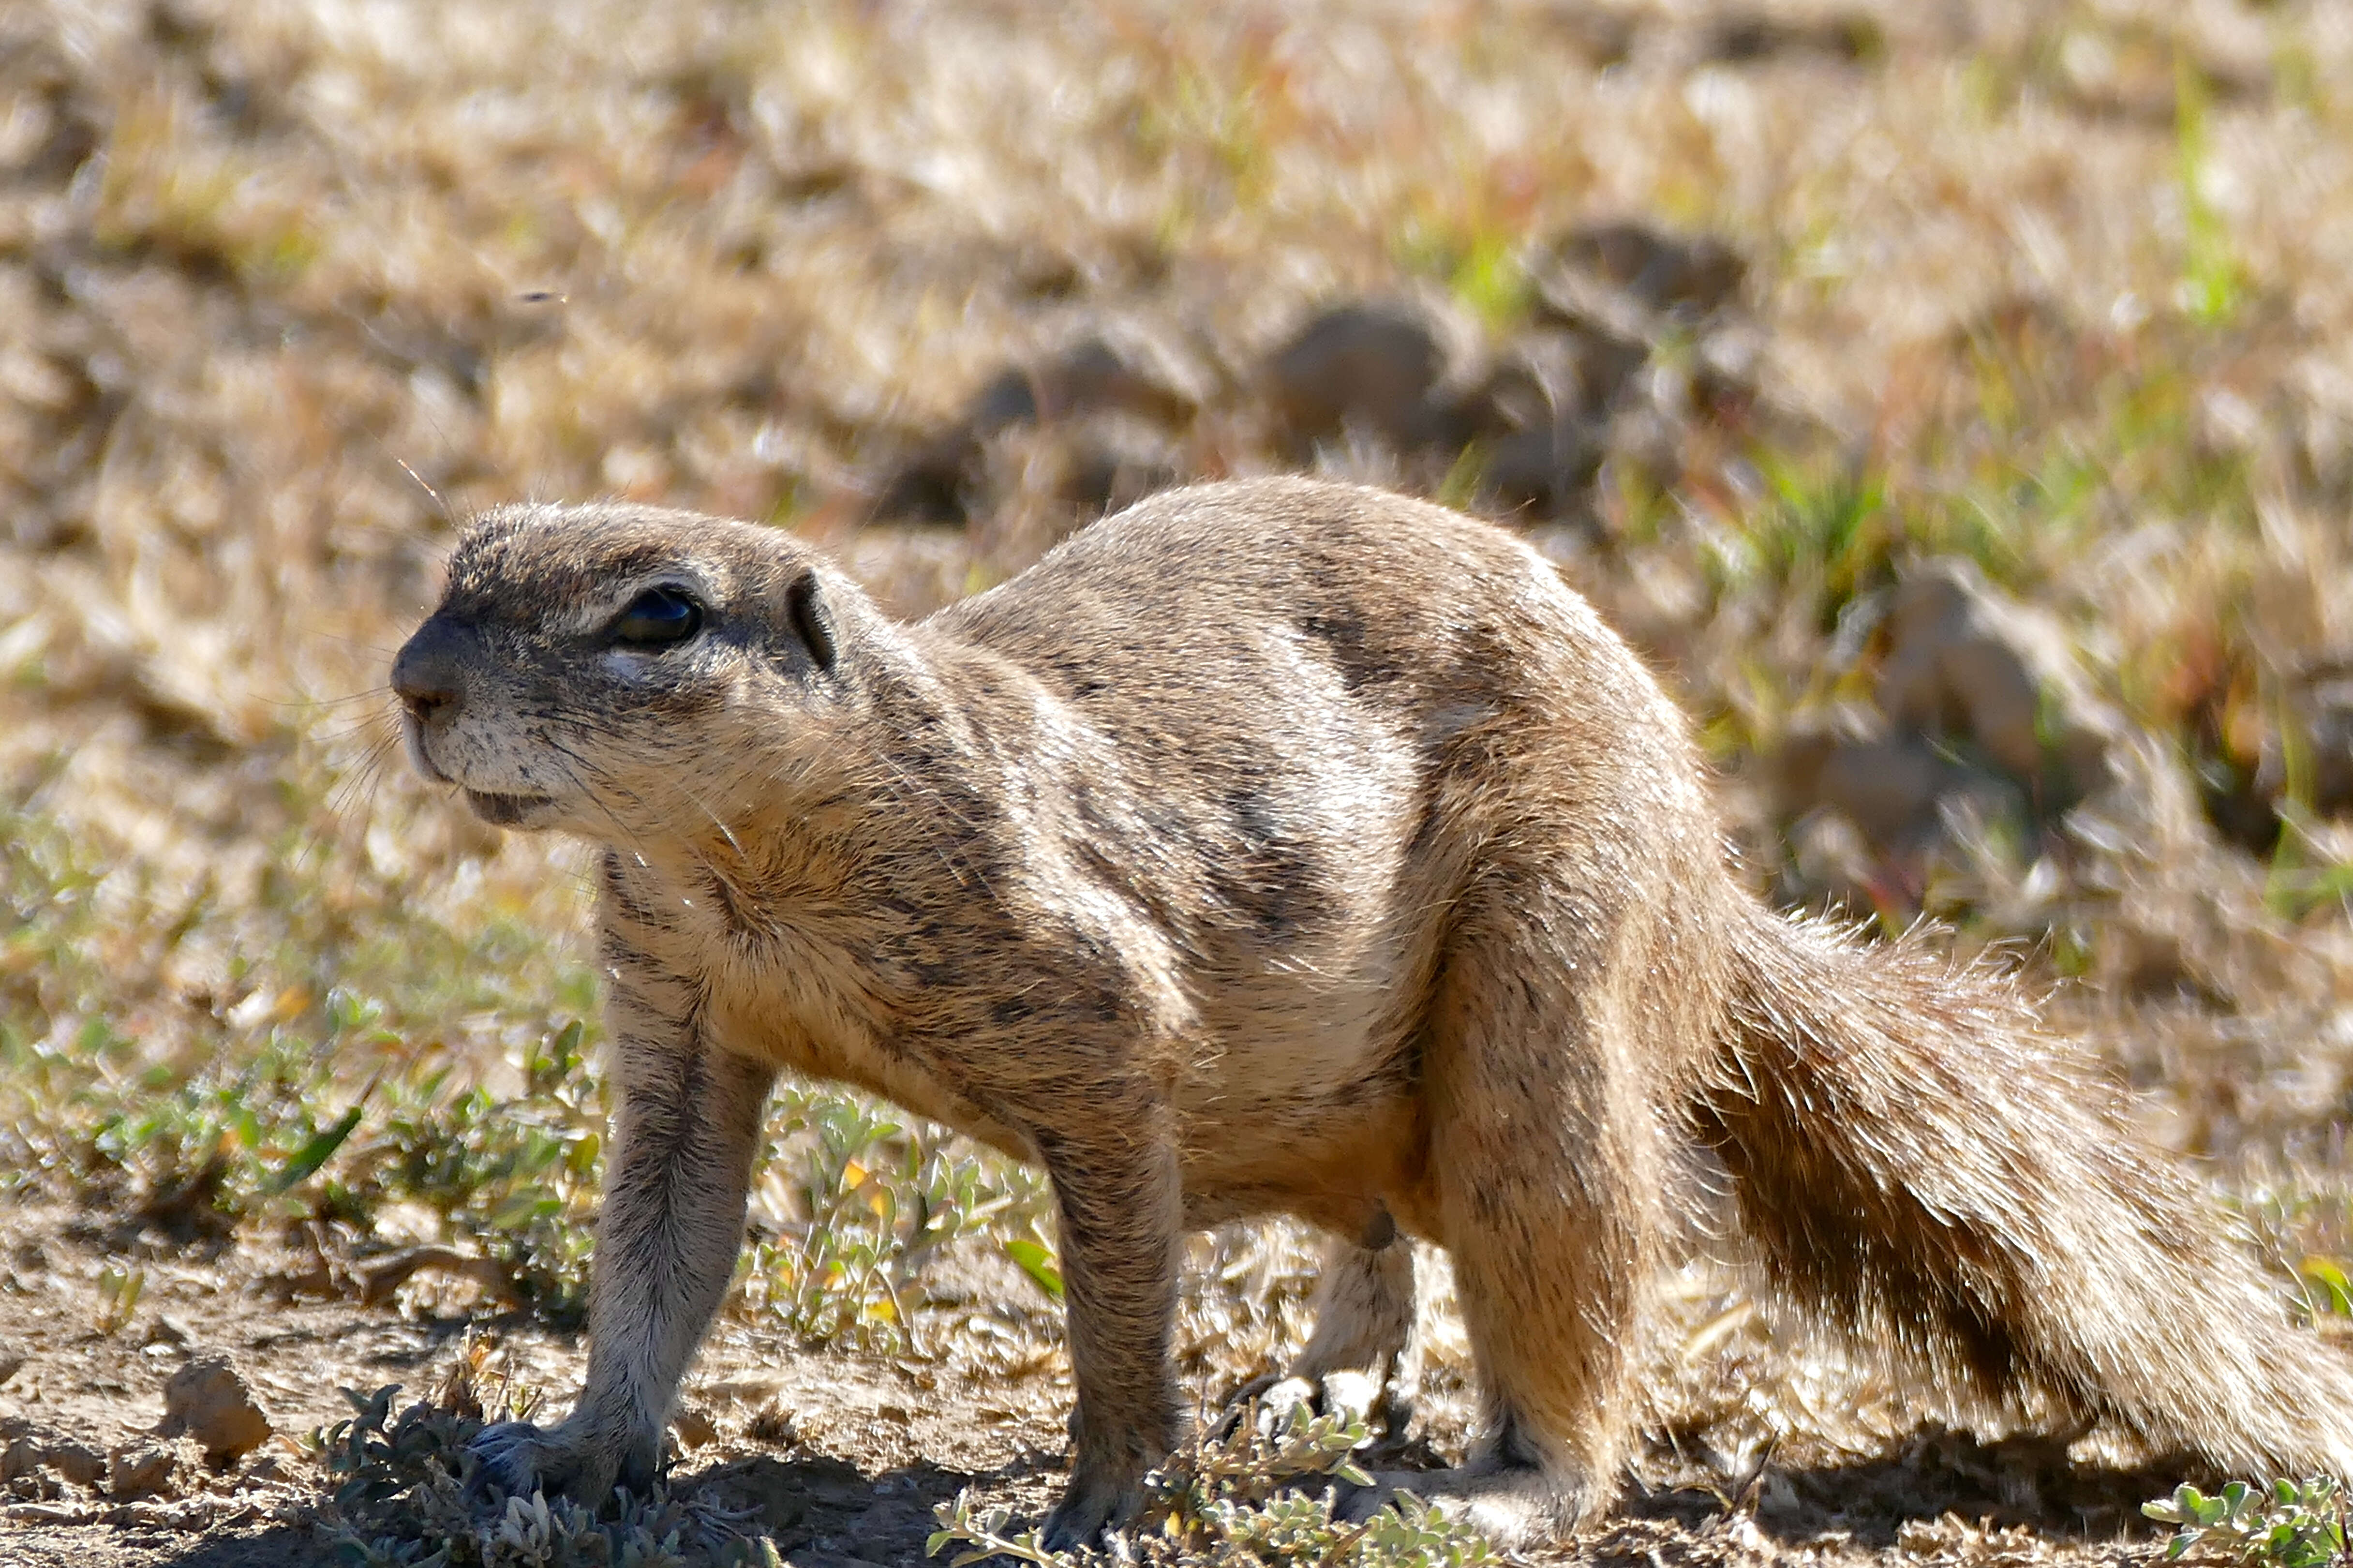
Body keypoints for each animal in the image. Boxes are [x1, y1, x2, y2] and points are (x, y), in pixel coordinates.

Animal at [390, 473, 2353, 1535]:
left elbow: (1117, 1282)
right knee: (1381, 1234)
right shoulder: (675, 1008)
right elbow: (662, 1236)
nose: (412, 681)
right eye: (458, 557)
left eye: (660, 614)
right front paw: (574, 1447)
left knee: (1556, 1279)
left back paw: (1491, 1488)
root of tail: (1709, 901)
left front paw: (1114, 1490)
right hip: (1328, 1099)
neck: (748, 862)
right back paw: (1324, 1377)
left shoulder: (1092, 1014)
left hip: (1542, 999)